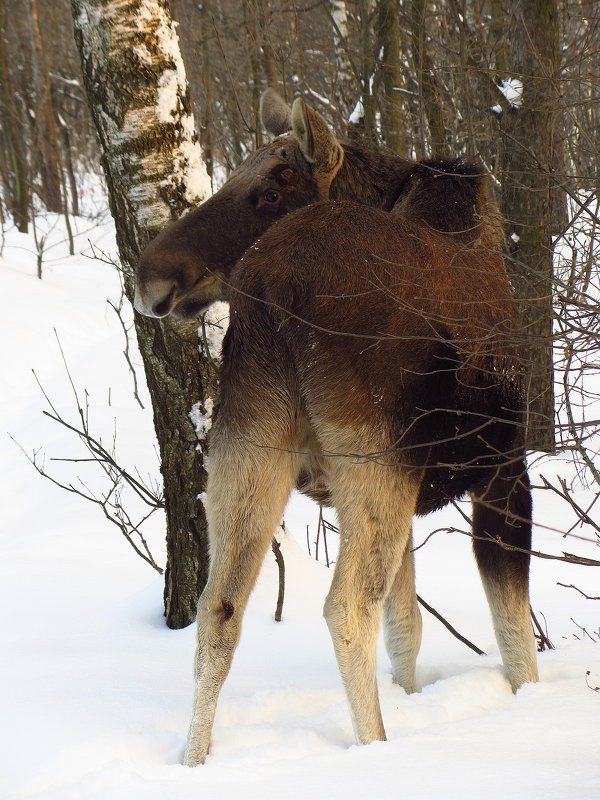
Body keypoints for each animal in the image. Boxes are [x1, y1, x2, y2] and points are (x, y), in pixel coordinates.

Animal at [134, 90, 536, 764]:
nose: (149, 276)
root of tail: (271, 290)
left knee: (219, 609)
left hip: (250, 443)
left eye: (273, 187)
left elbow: (407, 628)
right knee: (346, 608)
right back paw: (375, 749)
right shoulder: (503, 468)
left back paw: (194, 760)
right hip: (374, 459)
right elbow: (514, 636)